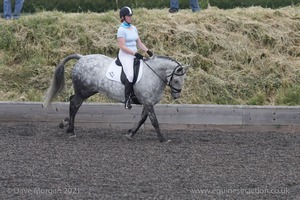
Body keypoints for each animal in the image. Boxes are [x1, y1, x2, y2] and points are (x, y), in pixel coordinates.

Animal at [43, 53, 188, 142]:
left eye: (183, 80)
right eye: (176, 80)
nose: (176, 95)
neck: (153, 74)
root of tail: (81, 58)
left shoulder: (148, 103)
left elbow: (142, 120)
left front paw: (130, 134)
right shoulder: (148, 102)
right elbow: (155, 122)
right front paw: (163, 138)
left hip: (88, 91)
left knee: (73, 102)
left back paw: (65, 124)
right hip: (84, 91)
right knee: (74, 104)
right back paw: (71, 130)